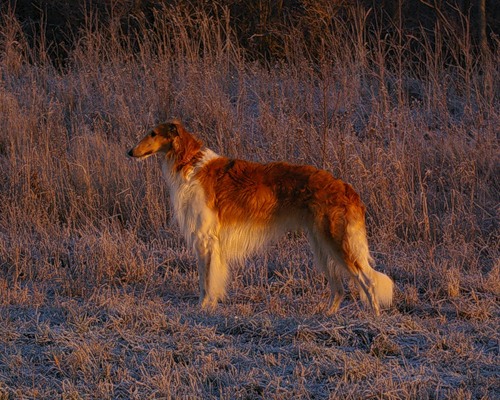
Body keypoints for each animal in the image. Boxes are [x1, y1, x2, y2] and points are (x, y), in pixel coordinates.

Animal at [127, 119, 392, 316]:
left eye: (153, 133)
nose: (129, 152)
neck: (190, 164)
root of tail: (347, 188)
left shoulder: (205, 239)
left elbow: (206, 282)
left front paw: (203, 308)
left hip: (337, 243)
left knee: (368, 282)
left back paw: (374, 320)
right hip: (321, 245)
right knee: (339, 289)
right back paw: (327, 316)